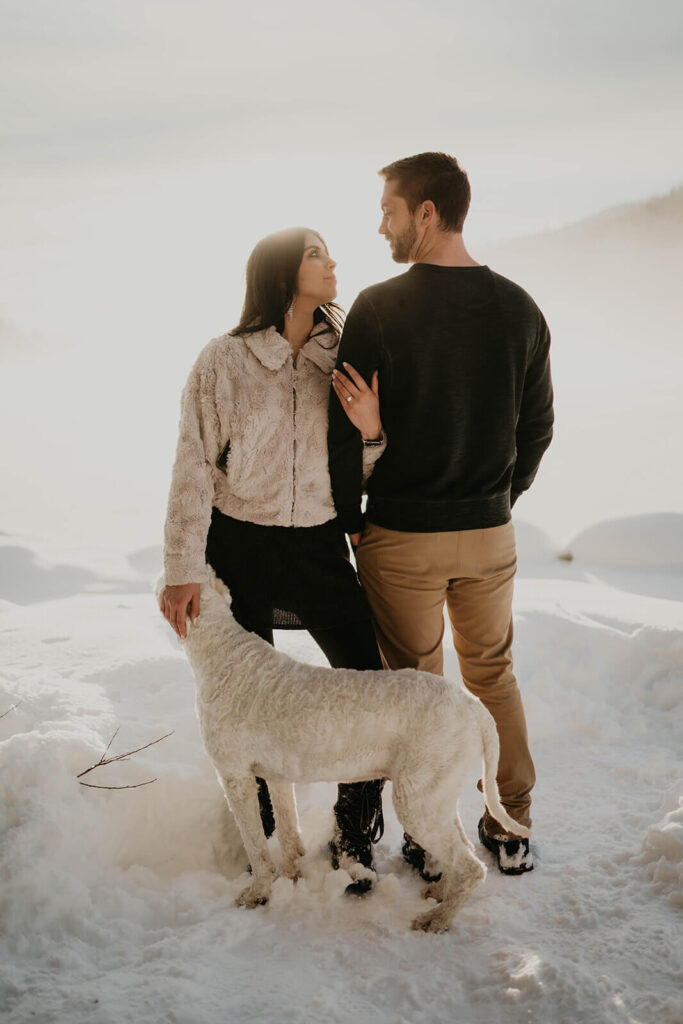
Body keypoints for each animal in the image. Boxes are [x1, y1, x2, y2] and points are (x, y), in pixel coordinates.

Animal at [163, 573, 528, 933]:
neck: (224, 650)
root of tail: (474, 706)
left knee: (471, 867)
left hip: (418, 798)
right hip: (437, 792)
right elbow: (287, 828)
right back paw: (440, 891)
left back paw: (436, 919)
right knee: (461, 850)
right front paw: (292, 874)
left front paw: (258, 893)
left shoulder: (234, 774)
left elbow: (255, 842)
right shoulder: (277, 775)